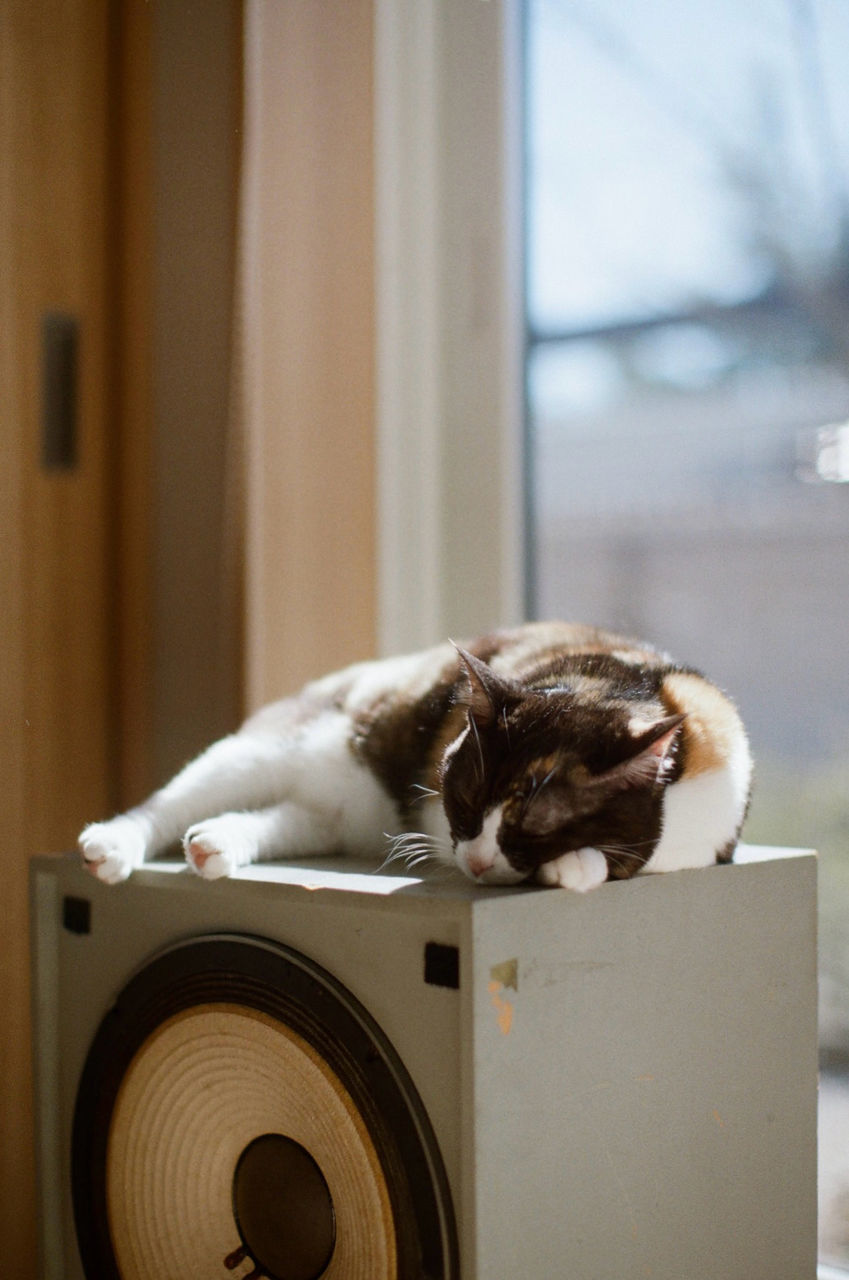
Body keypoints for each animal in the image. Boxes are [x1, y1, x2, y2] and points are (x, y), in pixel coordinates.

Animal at [79, 619, 752, 890]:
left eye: (537, 821)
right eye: (467, 794)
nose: (474, 859)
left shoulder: (711, 835)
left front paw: (575, 863)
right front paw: (574, 867)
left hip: (332, 814)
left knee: (284, 819)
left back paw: (215, 843)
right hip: (277, 746)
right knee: (169, 801)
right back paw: (113, 844)